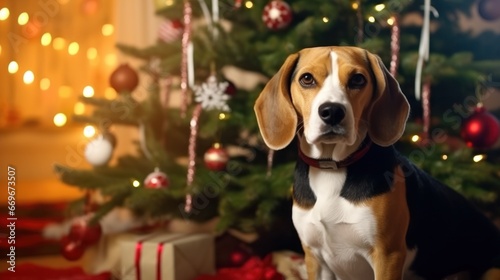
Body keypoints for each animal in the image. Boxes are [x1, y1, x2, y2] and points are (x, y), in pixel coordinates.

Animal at [256, 47, 500, 278]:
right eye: (306, 79)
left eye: (357, 79)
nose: (332, 111)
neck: (332, 169)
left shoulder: (388, 255)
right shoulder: (314, 257)